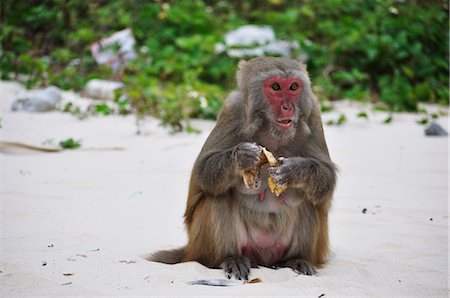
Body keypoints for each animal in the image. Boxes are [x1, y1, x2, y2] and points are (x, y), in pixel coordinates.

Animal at [149, 57, 336, 280]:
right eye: (275, 87)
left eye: (293, 87)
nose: (288, 107)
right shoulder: (233, 110)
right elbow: (203, 171)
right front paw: (241, 157)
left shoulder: (313, 111)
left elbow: (326, 179)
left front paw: (296, 171)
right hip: (205, 248)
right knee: (217, 197)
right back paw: (231, 258)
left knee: (307, 200)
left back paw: (297, 259)